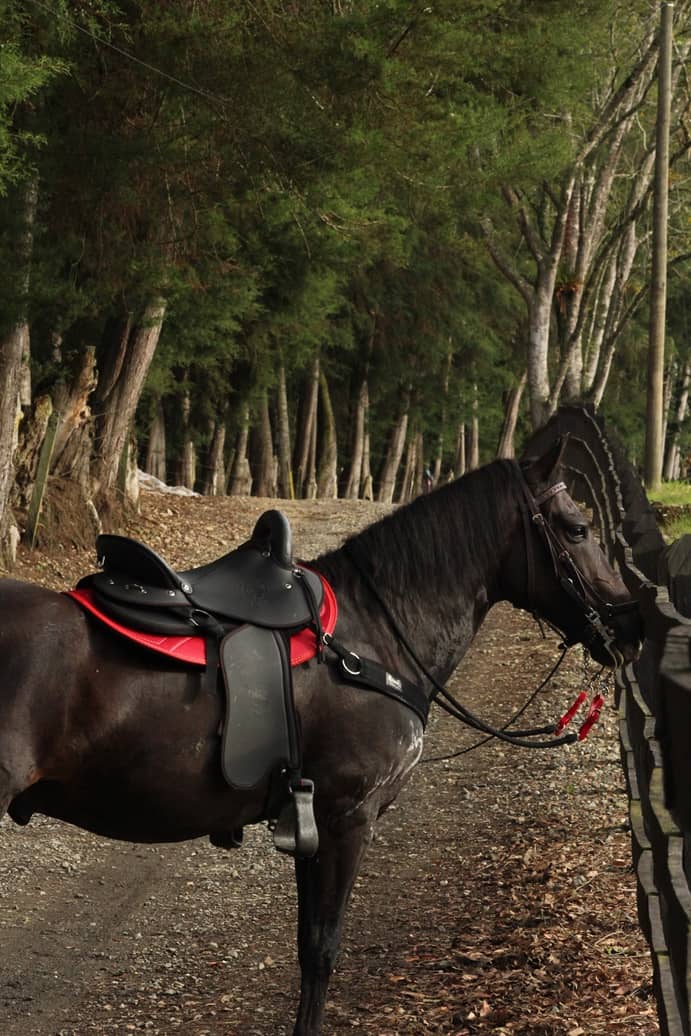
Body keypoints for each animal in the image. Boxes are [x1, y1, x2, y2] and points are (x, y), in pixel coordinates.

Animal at [0, 439, 642, 1036]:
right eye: (578, 528)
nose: (631, 624)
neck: (372, 633)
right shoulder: (346, 818)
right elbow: (322, 952)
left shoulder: (311, 819)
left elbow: (309, 946)